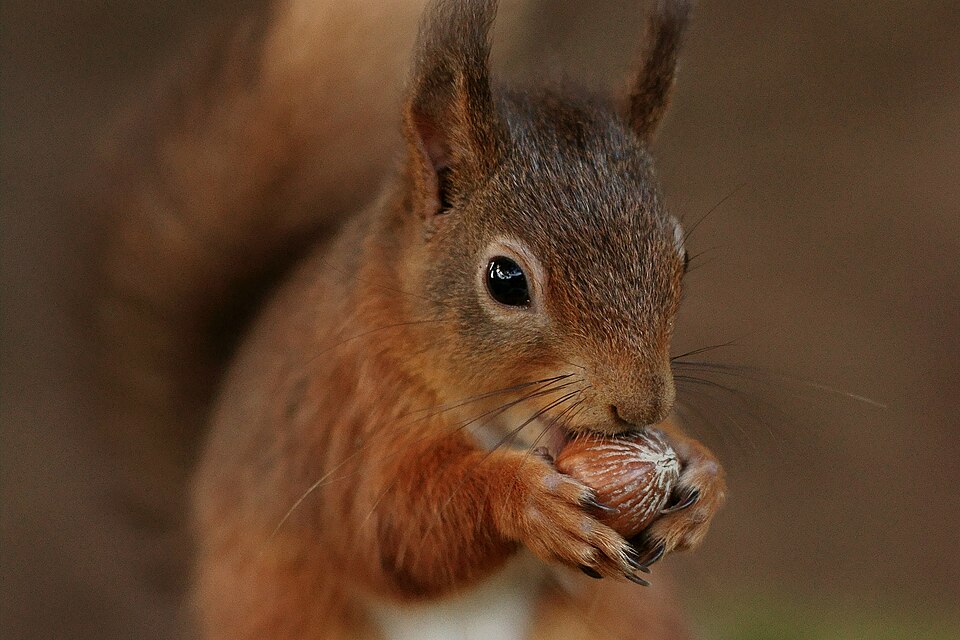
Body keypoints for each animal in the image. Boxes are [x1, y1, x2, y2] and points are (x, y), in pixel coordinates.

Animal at [93, 0, 726, 638]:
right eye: (505, 279)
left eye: (681, 256)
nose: (641, 406)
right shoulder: (349, 410)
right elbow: (387, 528)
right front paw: (527, 499)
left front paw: (702, 475)